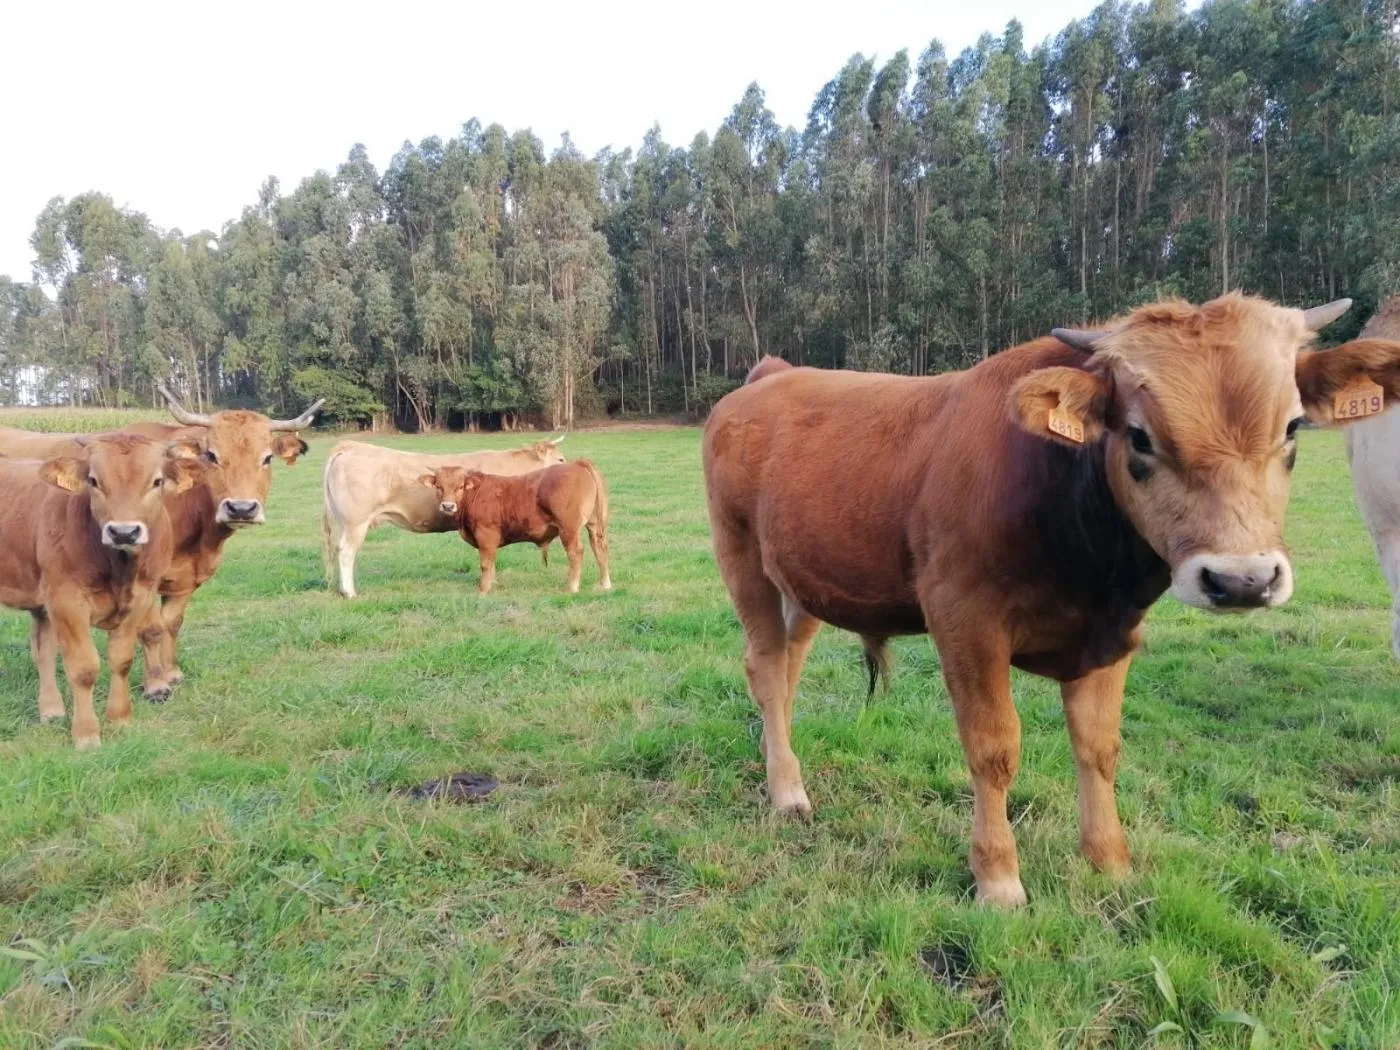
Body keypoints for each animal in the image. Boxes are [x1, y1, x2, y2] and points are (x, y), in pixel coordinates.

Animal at [0, 434, 197, 750]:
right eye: (94, 480)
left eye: (157, 481)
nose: (124, 532)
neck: (119, 569)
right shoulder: (67, 602)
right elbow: (83, 669)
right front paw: (86, 734)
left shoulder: (141, 598)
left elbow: (121, 659)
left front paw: (119, 718)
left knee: (43, 651)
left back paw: (52, 710)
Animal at [700, 292, 1400, 907]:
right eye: (1139, 436)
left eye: (1292, 427)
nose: (1242, 580)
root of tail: (773, 375)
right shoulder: (965, 621)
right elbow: (993, 748)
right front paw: (998, 880)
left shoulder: (1113, 635)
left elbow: (1098, 746)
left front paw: (1110, 862)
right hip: (743, 559)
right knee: (766, 667)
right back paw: (787, 791)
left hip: (804, 581)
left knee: (788, 669)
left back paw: (779, 763)